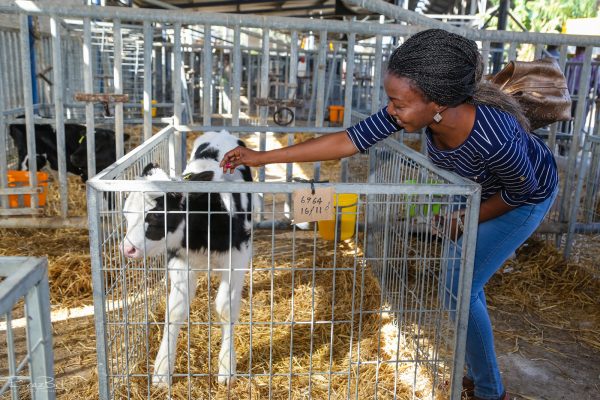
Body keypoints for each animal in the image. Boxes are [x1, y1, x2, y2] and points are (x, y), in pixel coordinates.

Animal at [120, 130, 252, 386]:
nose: (126, 249)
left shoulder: (237, 259)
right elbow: (175, 311)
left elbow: (226, 309)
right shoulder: (181, 262)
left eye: (155, 218)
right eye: (126, 215)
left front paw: (227, 367)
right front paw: (162, 370)